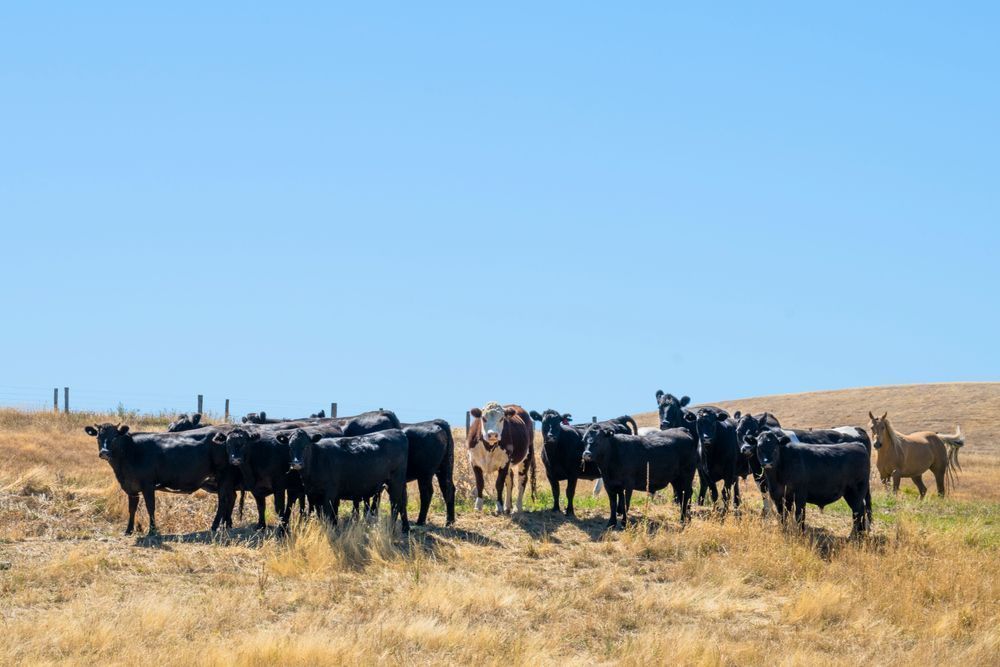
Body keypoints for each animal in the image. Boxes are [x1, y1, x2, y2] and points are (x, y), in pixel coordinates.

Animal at [83, 423, 235, 535]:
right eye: (98, 437)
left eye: (115, 437)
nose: (104, 452)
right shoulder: (131, 487)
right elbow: (132, 509)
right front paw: (128, 530)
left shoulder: (148, 485)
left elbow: (151, 507)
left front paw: (152, 530)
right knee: (229, 498)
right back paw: (226, 525)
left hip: (223, 476)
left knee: (223, 501)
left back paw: (215, 526)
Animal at [282, 428, 410, 533]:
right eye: (290, 447)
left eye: (306, 446)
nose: (296, 463)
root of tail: (397, 431)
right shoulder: (312, 493)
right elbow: (319, 514)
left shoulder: (330, 492)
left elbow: (327, 514)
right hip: (398, 483)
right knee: (402, 502)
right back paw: (405, 528)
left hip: (395, 481)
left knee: (395, 504)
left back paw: (392, 530)